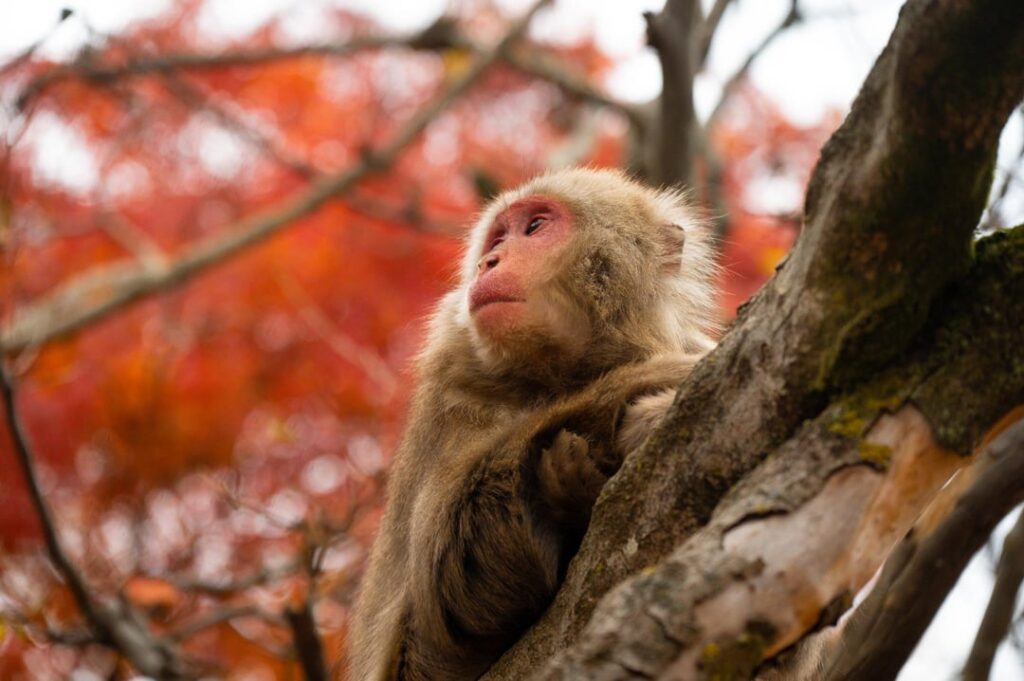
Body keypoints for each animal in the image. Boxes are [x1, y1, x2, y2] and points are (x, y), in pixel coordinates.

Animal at [346, 167, 720, 681]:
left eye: (537, 226)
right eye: (498, 237)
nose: (490, 261)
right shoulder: (451, 386)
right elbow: (442, 588)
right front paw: (642, 388)